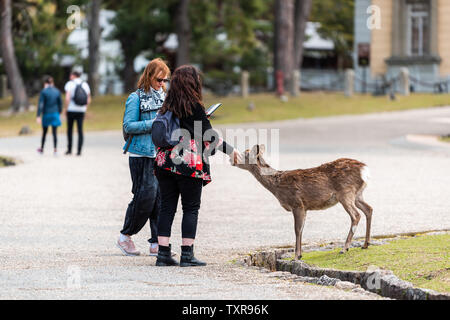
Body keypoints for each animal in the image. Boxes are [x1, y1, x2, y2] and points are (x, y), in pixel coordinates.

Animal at [232, 145, 372, 260]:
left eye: (244, 154)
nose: (232, 160)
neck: (277, 186)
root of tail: (364, 169)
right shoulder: (304, 207)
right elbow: (302, 228)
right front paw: (300, 255)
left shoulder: (296, 203)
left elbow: (297, 229)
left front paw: (296, 256)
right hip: (357, 195)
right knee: (369, 209)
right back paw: (365, 244)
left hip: (346, 192)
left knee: (356, 215)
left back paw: (344, 248)